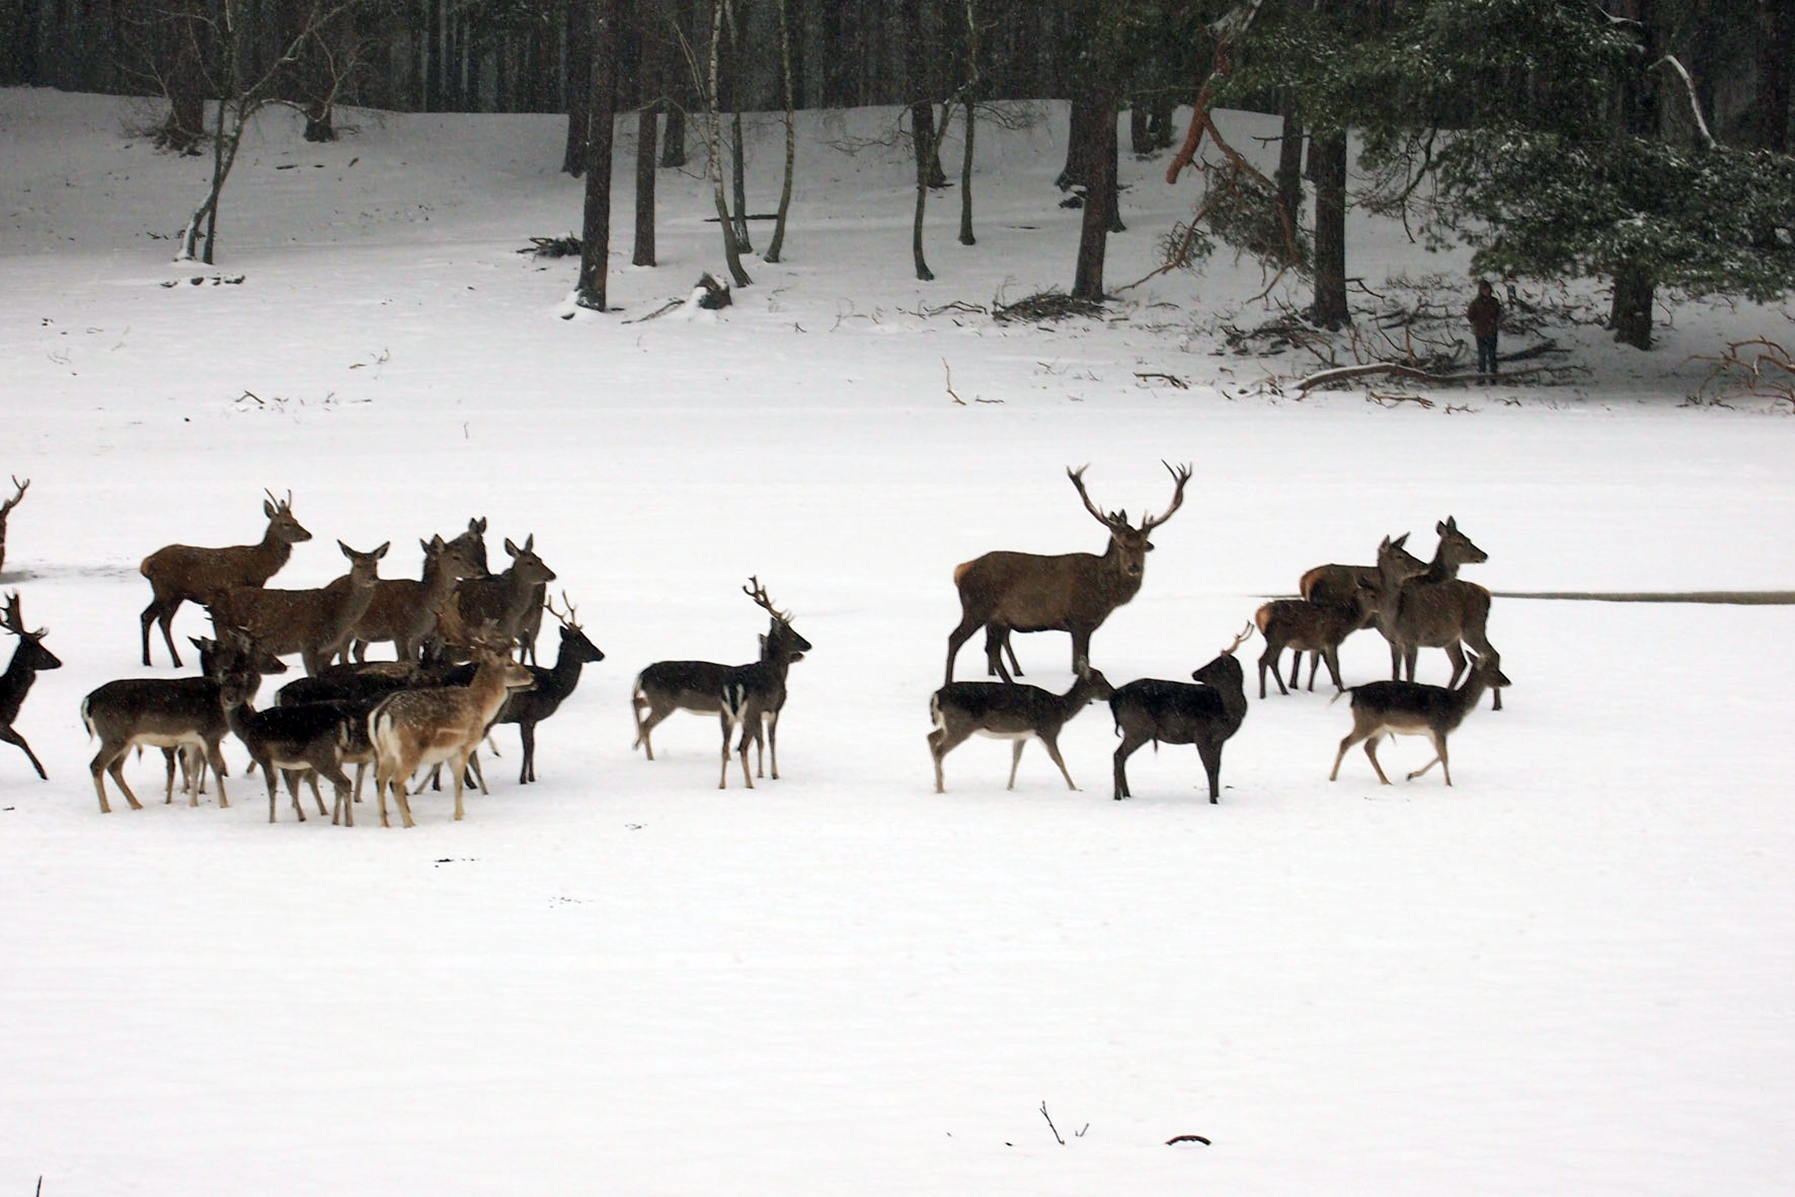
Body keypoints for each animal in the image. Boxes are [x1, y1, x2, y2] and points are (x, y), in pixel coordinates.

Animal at [140, 491, 312, 671]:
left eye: (297, 520)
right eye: (286, 524)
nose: (308, 534)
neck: (259, 566)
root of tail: (147, 563)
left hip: (172, 594)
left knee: (150, 617)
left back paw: (149, 661)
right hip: (167, 591)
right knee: (159, 620)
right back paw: (174, 662)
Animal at [933, 664, 1112, 796]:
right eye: (1101, 681)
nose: (1113, 692)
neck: (1061, 709)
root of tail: (937, 695)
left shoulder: (1022, 735)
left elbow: (1016, 758)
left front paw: (1010, 787)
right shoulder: (1048, 731)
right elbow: (1059, 760)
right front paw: (1074, 788)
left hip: (949, 725)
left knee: (931, 737)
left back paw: (937, 784)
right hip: (960, 725)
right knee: (939, 749)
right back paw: (941, 789)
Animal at [940, 463, 1191, 681]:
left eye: (1142, 545)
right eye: (1121, 544)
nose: (1133, 567)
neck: (1104, 593)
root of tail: (961, 571)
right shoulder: (1079, 620)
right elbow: (1081, 665)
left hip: (997, 618)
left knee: (991, 650)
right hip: (976, 607)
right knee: (955, 639)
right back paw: (949, 682)